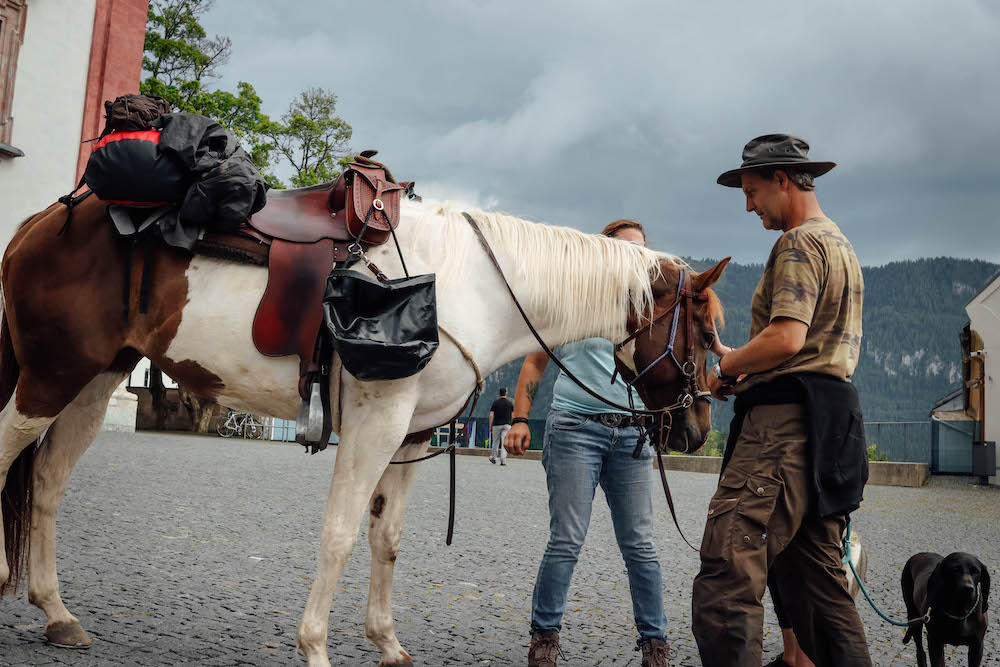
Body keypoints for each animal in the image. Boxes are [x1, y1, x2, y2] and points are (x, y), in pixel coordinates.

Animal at [1, 194, 728, 667]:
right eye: (705, 329)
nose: (697, 427)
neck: (473, 285)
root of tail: (43, 220)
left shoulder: (411, 434)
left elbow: (387, 538)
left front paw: (386, 641)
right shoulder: (376, 424)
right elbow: (341, 534)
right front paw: (316, 646)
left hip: (94, 380)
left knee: (48, 479)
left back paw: (56, 611)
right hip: (50, 375)